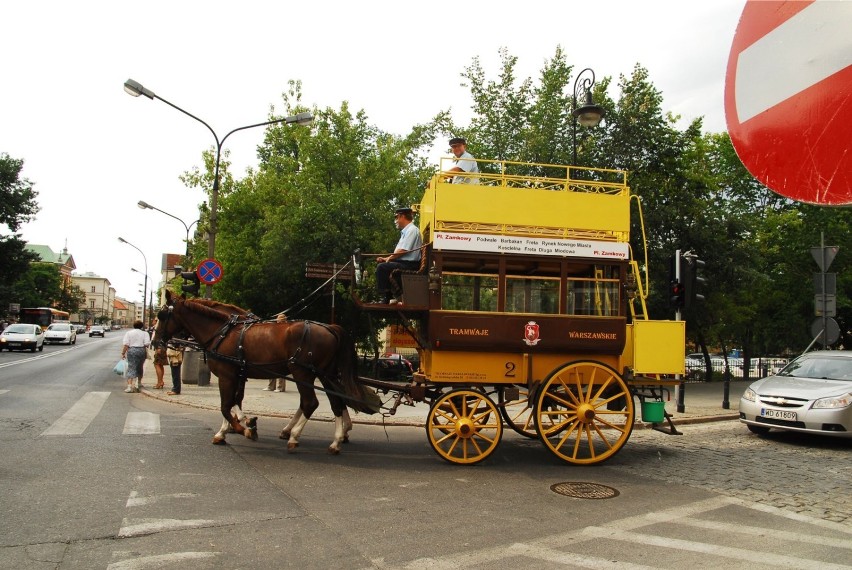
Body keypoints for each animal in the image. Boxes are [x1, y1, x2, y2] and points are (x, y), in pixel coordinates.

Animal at [154, 290, 380, 450]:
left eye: (162, 315)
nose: (155, 340)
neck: (223, 332)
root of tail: (330, 328)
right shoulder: (239, 375)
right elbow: (235, 401)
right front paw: (238, 425)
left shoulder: (227, 375)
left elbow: (226, 405)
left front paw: (242, 428)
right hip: (325, 374)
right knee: (336, 402)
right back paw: (335, 440)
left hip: (303, 373)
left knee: (310, 403)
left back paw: (295, 436)